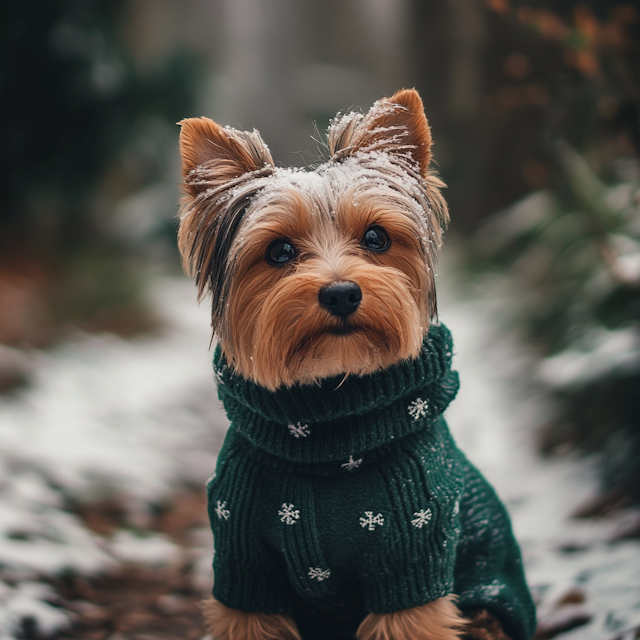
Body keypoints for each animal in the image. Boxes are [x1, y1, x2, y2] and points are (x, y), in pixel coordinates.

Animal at [176, 89, 536, 640]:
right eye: (279, 250)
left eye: (375, 239)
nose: (341, 292)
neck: (328, 431)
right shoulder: (243, 562)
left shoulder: (414, 557)